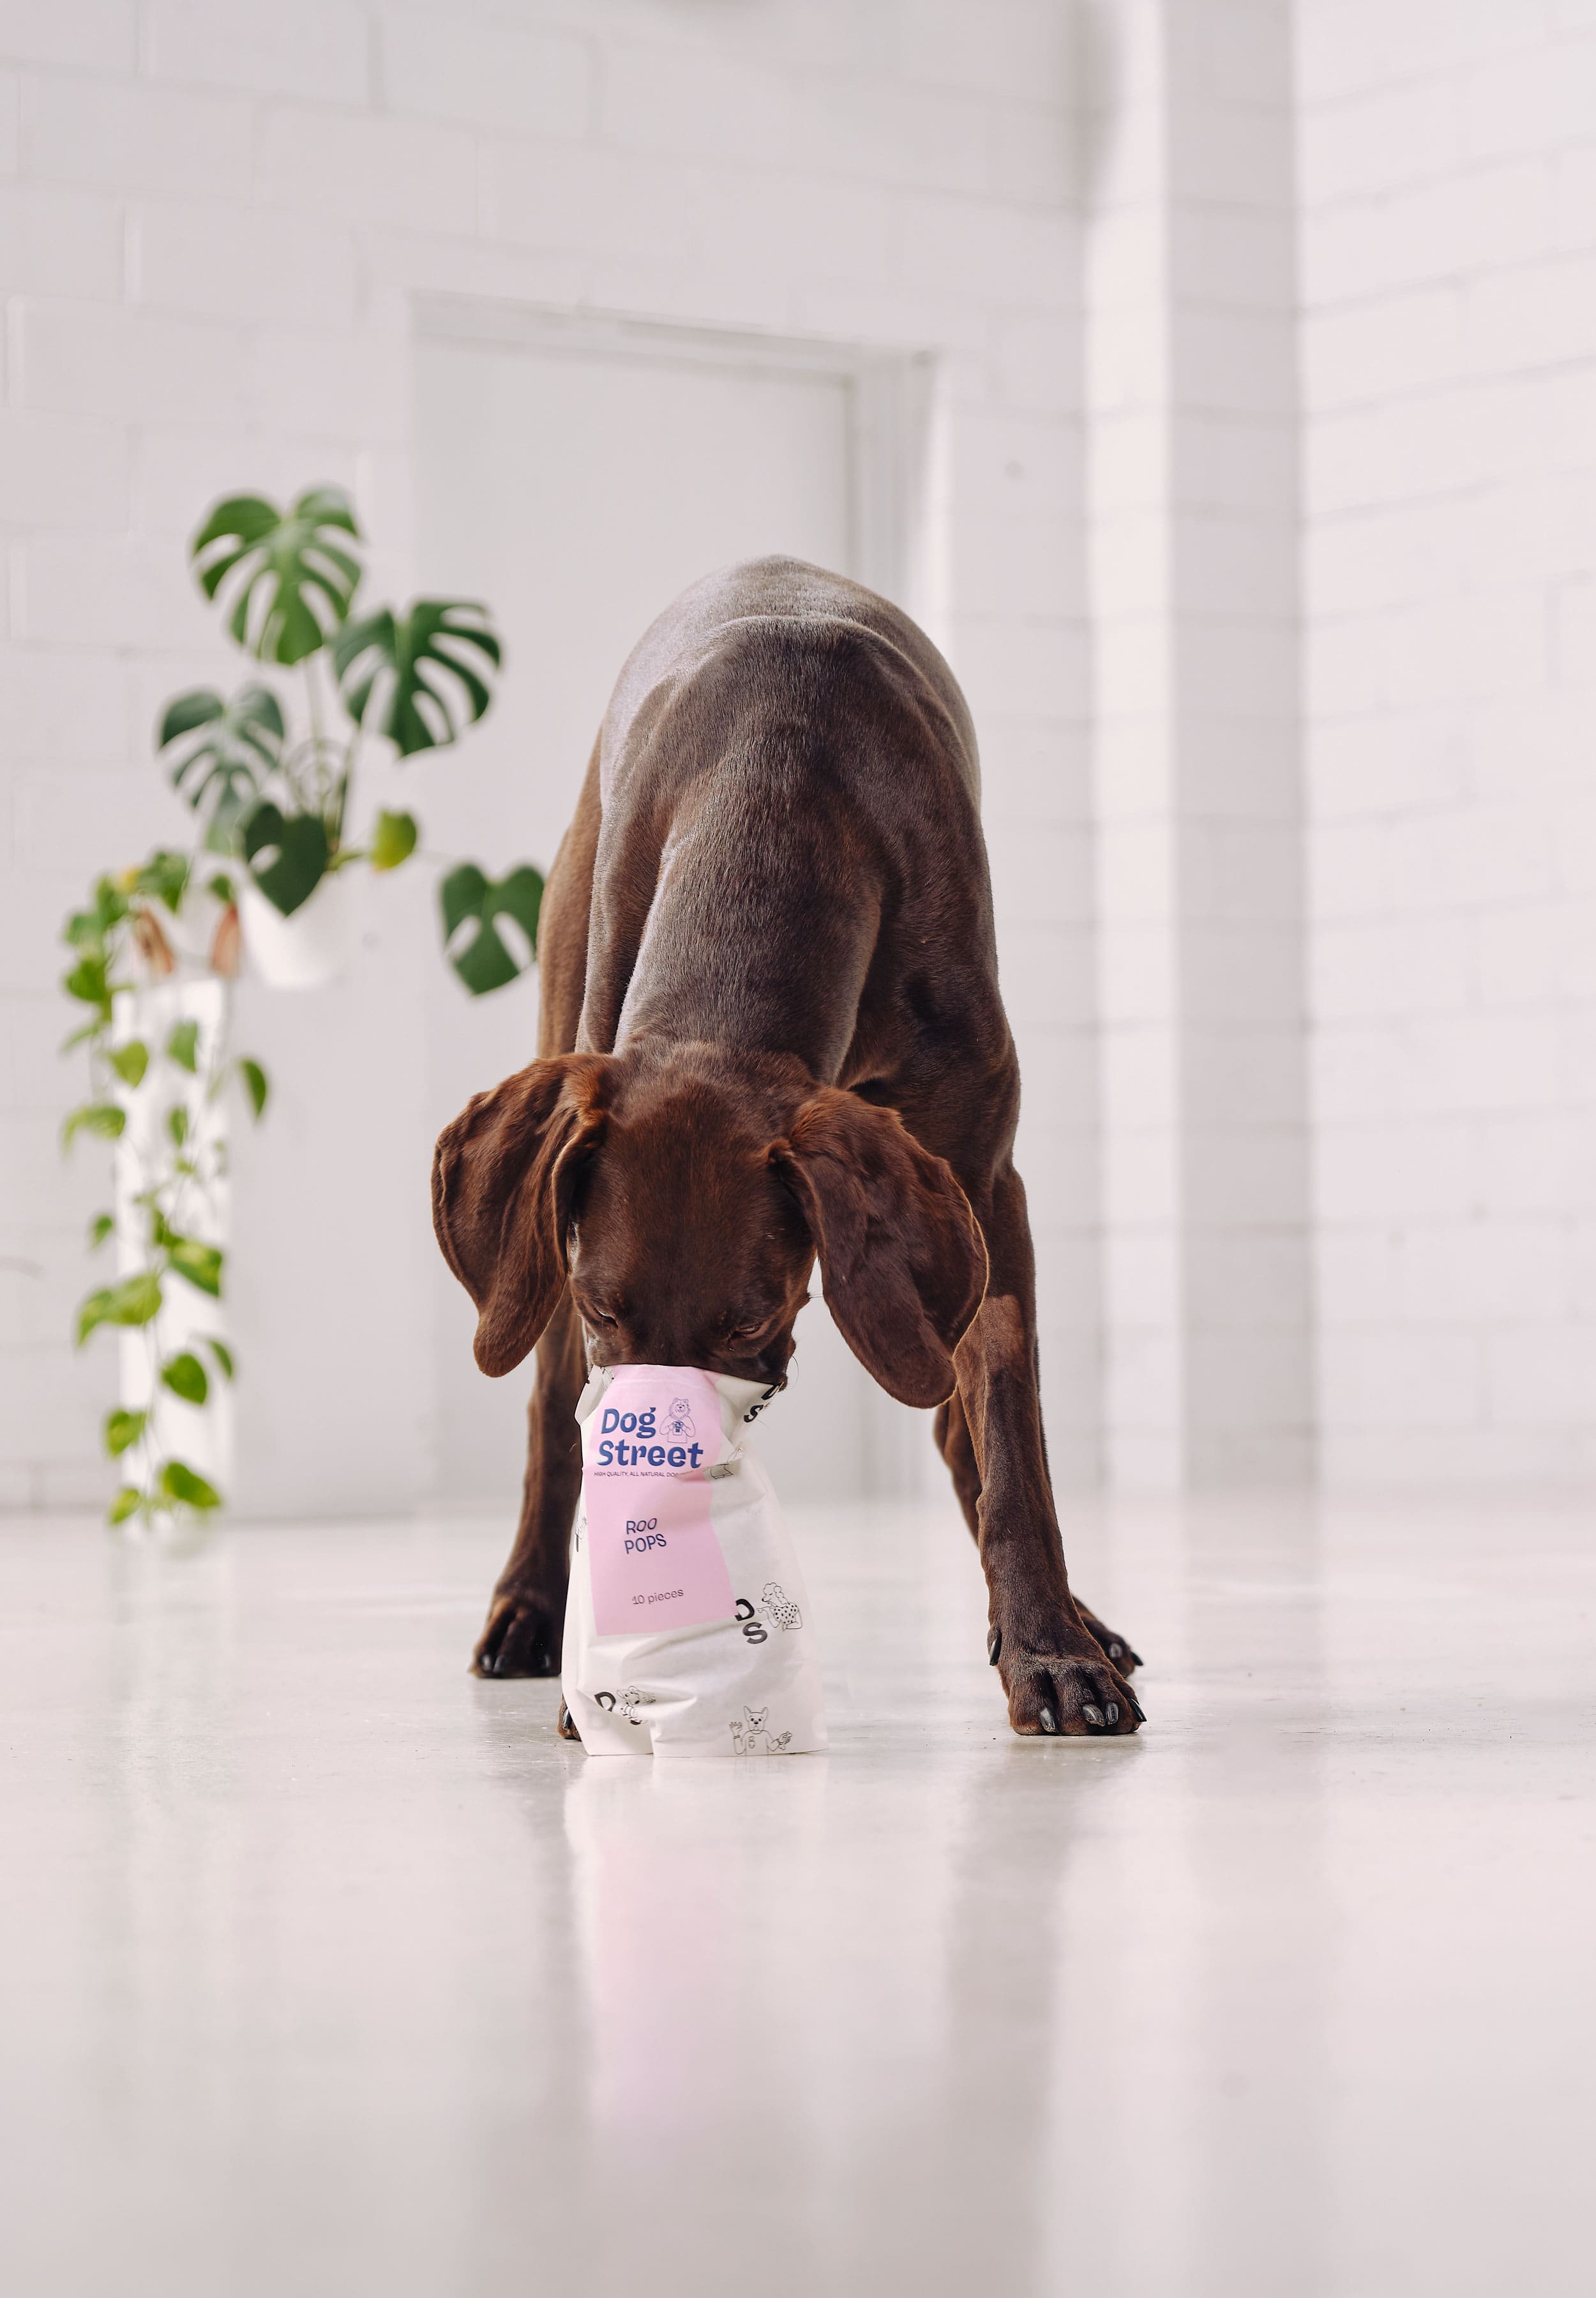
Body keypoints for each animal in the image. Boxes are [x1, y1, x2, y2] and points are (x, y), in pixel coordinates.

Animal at [432, 561, 1143, 1737]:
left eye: (753, 1319)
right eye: (600, 1308)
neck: (773, 811)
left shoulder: (984, 1183)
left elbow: (1009, 1436)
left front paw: (1049, 1645)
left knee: (968, 1427)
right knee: (542, 1402)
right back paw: (529, 1606)